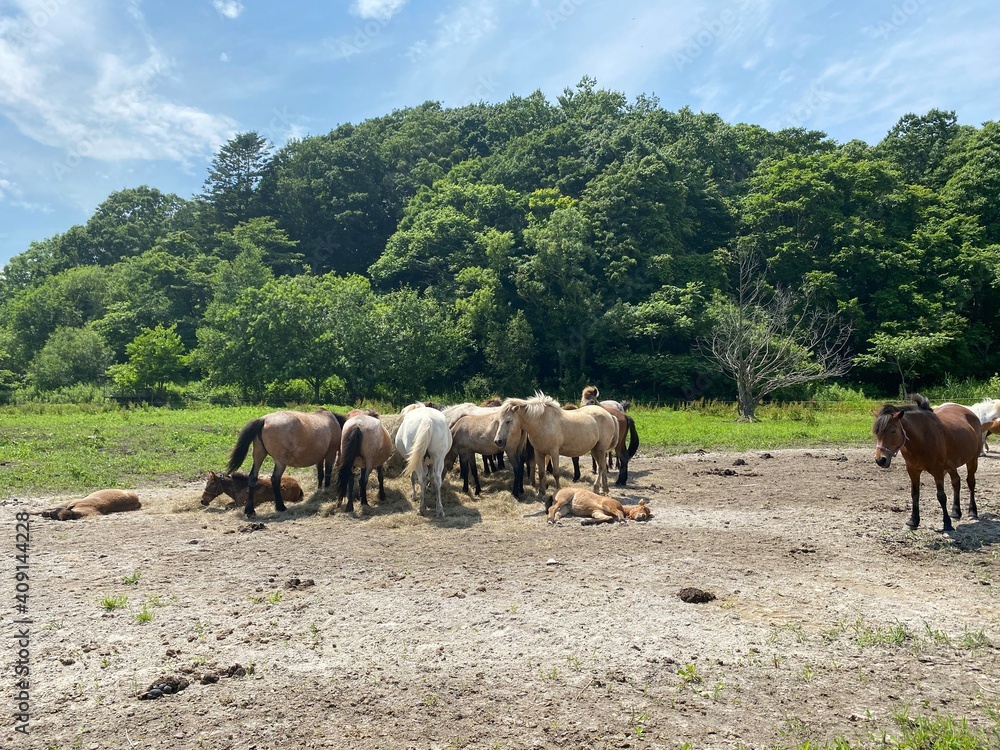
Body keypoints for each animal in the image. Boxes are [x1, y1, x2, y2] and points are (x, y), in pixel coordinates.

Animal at [873, 394, 980, 531]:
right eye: (877, 432)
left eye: (893, 431)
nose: (880, 459)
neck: (922, 438)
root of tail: (970, 412)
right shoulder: (913, 471)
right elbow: (915, 494)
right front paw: (913, 521)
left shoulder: (938, 471)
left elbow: (941, 496)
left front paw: (947, 524)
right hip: (951, 465)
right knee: (956, 482)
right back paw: (956, 512)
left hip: (972, 460)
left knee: (971, 483)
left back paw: (972, 512)